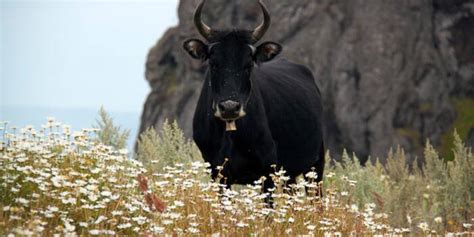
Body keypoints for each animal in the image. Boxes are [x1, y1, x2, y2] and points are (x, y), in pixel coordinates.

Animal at [183, 0, 324, 194]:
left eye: (248, 64)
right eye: (213, 63)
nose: (229, 107)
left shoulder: (268, 169)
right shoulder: (217, 173)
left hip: (316, 165)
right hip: (290, 173)